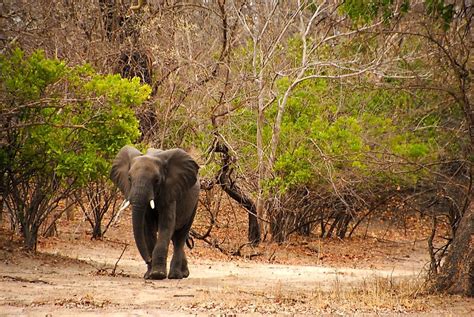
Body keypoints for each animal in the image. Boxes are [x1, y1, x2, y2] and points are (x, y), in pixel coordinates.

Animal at [110, 144, 199, 278]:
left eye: (157, 180)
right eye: (129, 179)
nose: (148, 259)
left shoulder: (169, 191)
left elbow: (166, 225)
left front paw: (158, 275)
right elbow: (147, 228)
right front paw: (149, 275)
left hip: (194, 203)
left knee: (180, 236)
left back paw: (175, 275)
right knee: (175, 237)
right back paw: (183, 273)